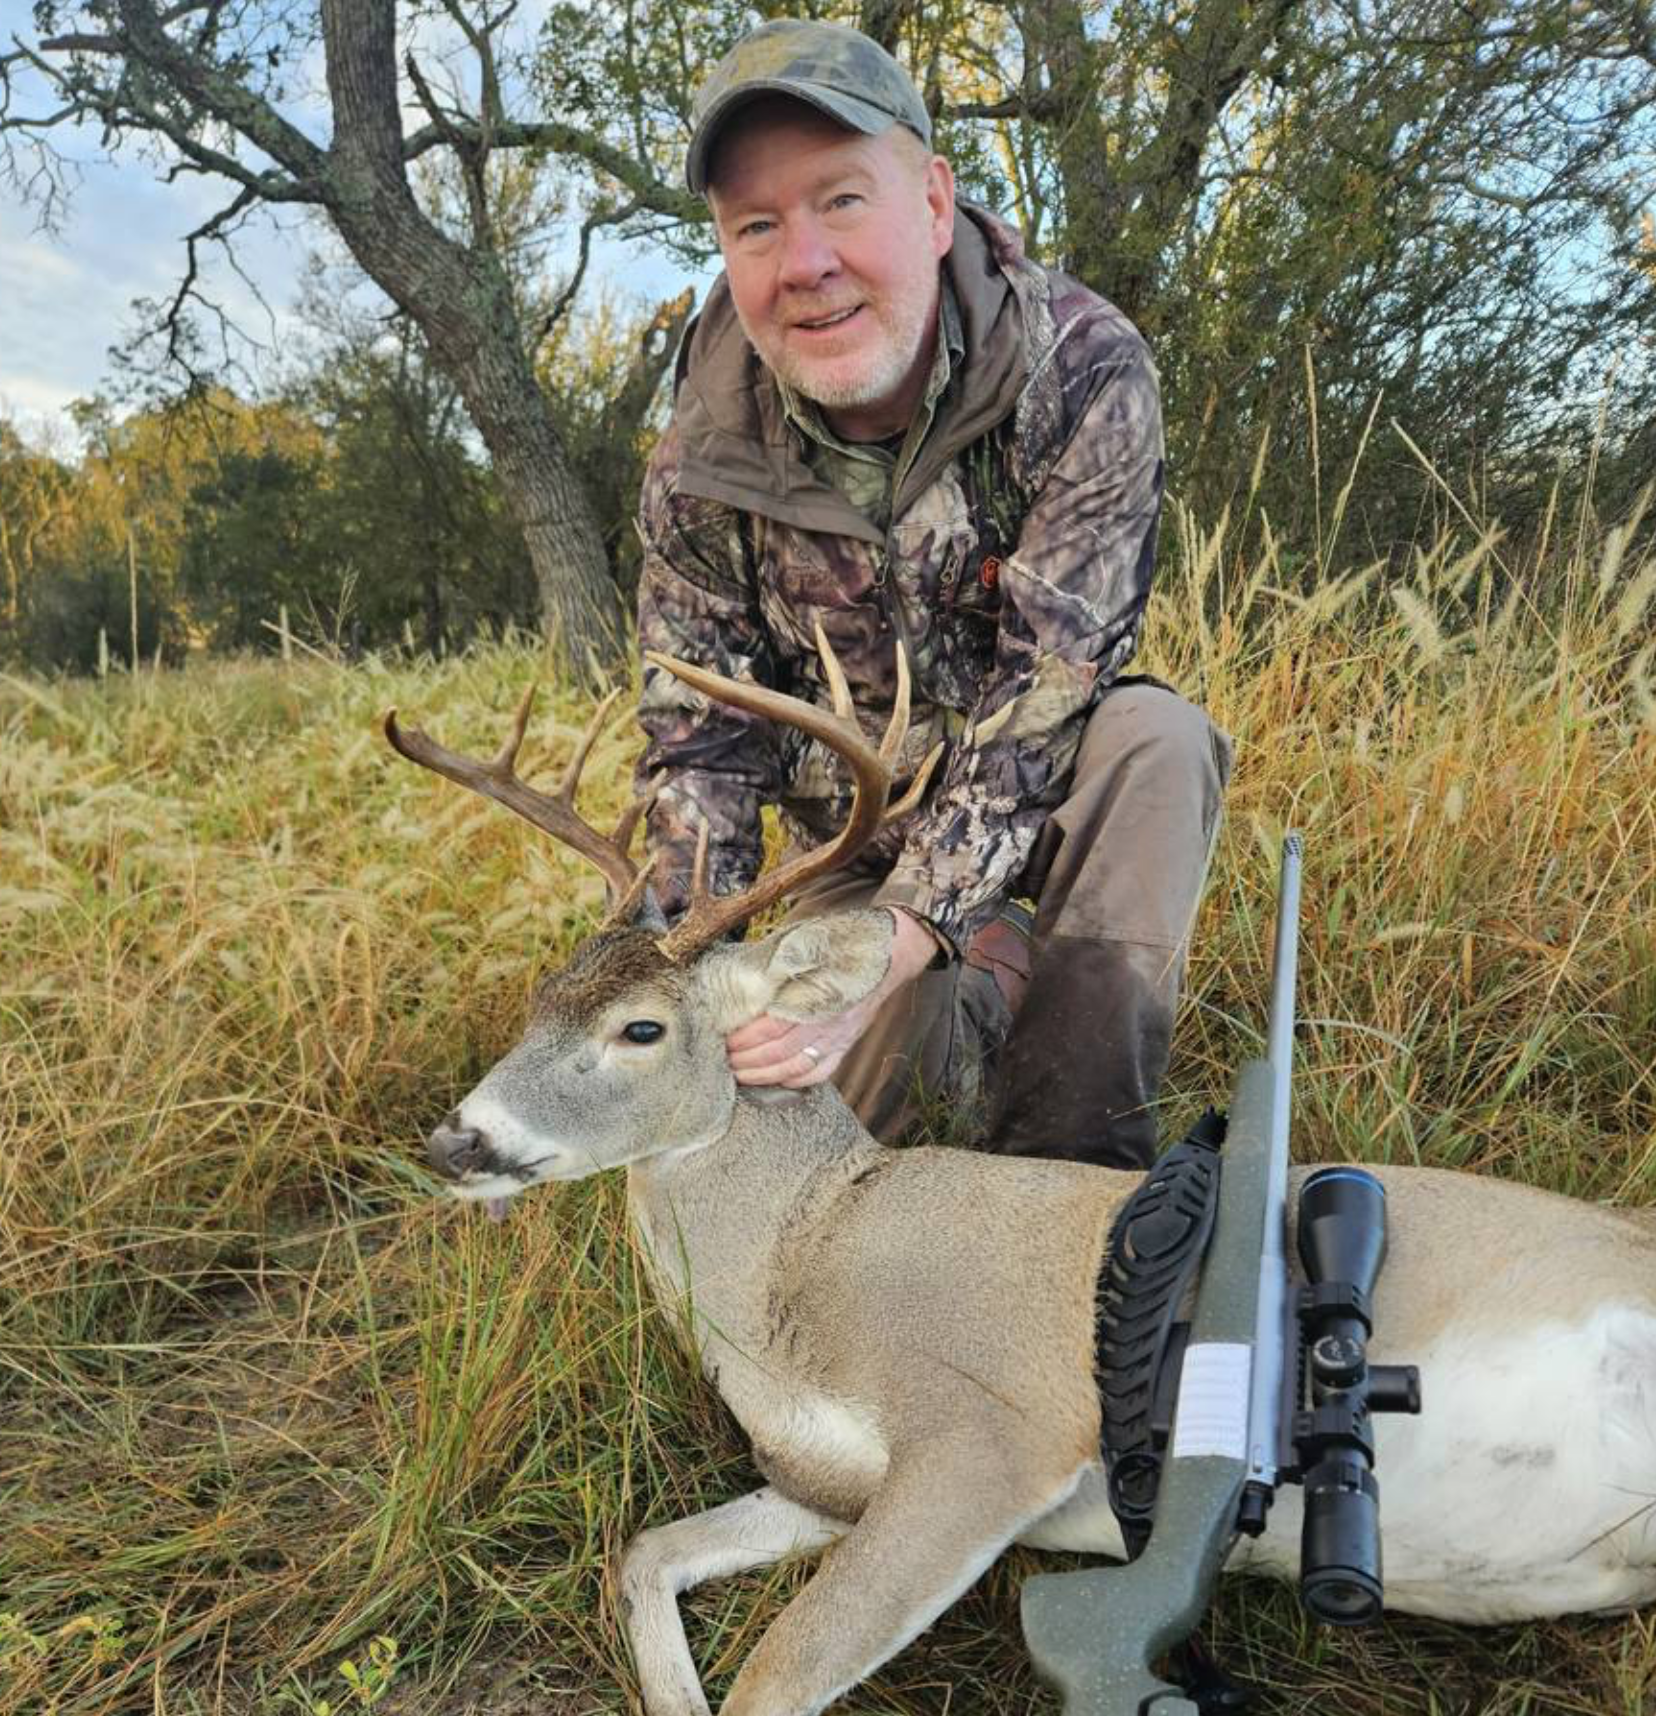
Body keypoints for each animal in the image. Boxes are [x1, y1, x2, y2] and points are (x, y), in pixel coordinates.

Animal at [385, 635, 1656, 1716]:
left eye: (641, 1029)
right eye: (540, 999)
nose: (458, 1142)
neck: (805, 1261)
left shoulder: (989, 1434)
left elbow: (776, 1677)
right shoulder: (825, 1482)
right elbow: (642, 1555)